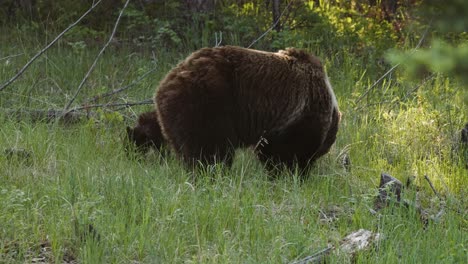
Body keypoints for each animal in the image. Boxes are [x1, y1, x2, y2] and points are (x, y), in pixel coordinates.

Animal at [128, 45, 340, 172]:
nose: (313, 161)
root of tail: (164, 85)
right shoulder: (298, 116)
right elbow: (286, 151)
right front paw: (288, 171)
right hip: (208, 102)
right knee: (210, 147)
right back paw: (212, 172)